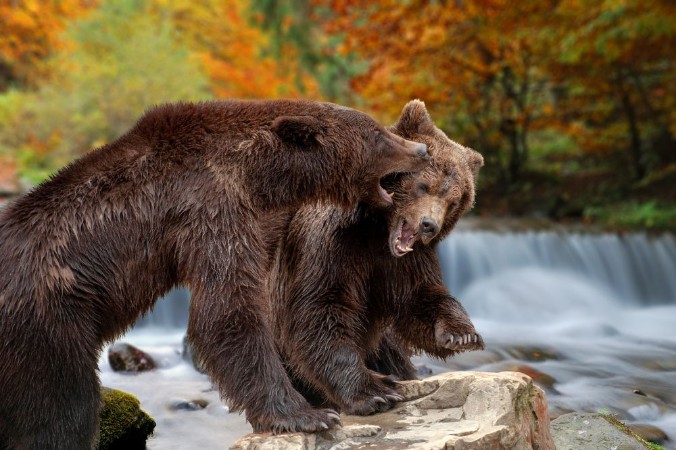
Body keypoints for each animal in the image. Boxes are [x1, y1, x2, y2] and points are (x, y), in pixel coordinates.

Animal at [0, 99, 430, 449]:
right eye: (376, 134)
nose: (422, 149)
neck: (257, 174)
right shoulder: (212, 206)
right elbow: (228, 312)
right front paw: (313, 412)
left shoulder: (259, 220)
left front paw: (383, 381)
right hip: (49, 327)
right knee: (65, 410)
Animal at [267, 100, 485, 415]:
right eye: (423, 185)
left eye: (454, 200)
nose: (429, 225)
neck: (377, 232)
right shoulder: (332, 247)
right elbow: (322, 309)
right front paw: (374, 392)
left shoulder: (404, 264)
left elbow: (420, 299)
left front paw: (462, 335)